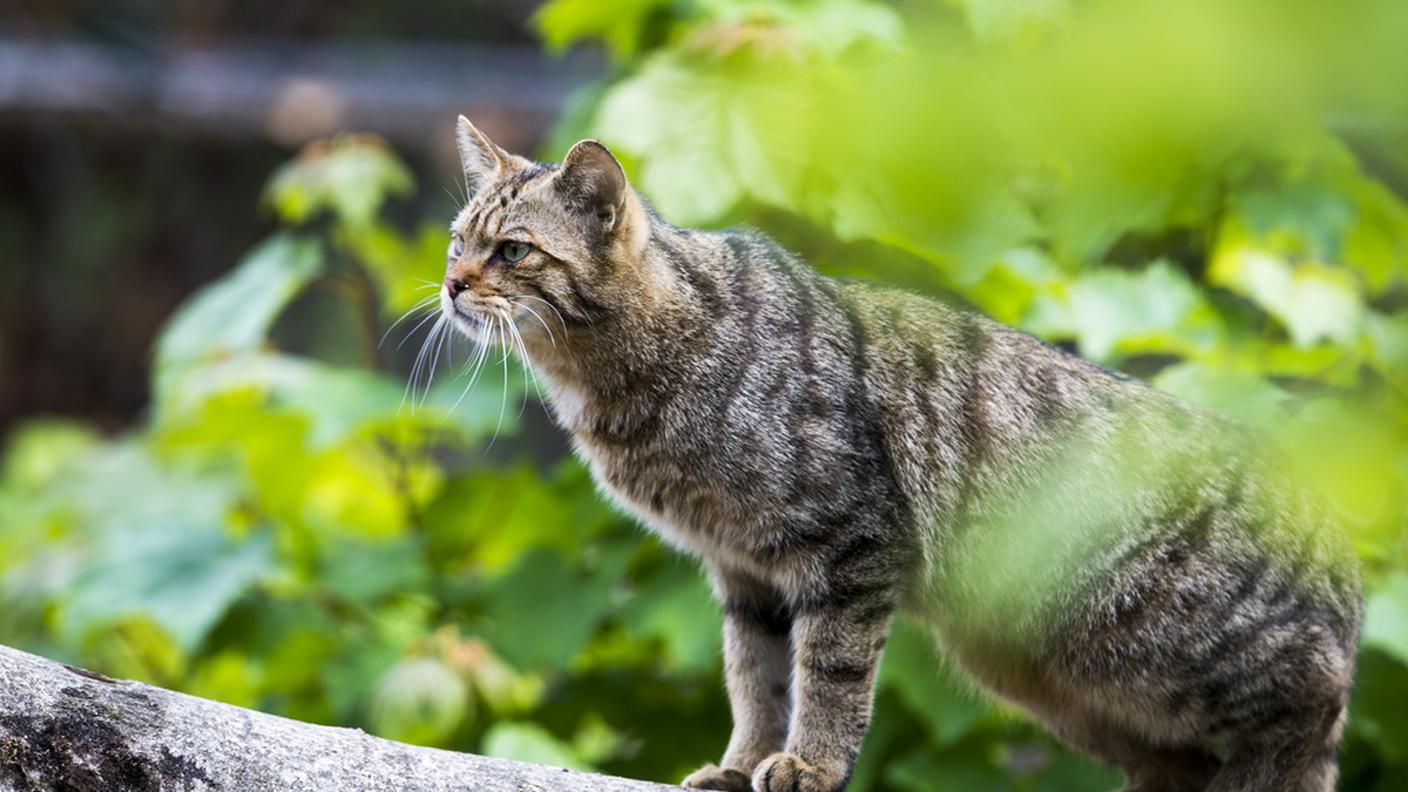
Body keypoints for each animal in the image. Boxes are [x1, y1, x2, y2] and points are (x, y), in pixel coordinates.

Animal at [442, 116, 1362, 789]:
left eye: (513, 250)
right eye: (457, 241)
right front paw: (742, 765)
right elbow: (755, 681)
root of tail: (1334, 534)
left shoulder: (849, 548)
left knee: (1311, 707)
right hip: (1056, 677)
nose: (451, 285)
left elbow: (828, 678)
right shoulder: (743, 574)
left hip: (1160, 642)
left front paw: (809, 766)